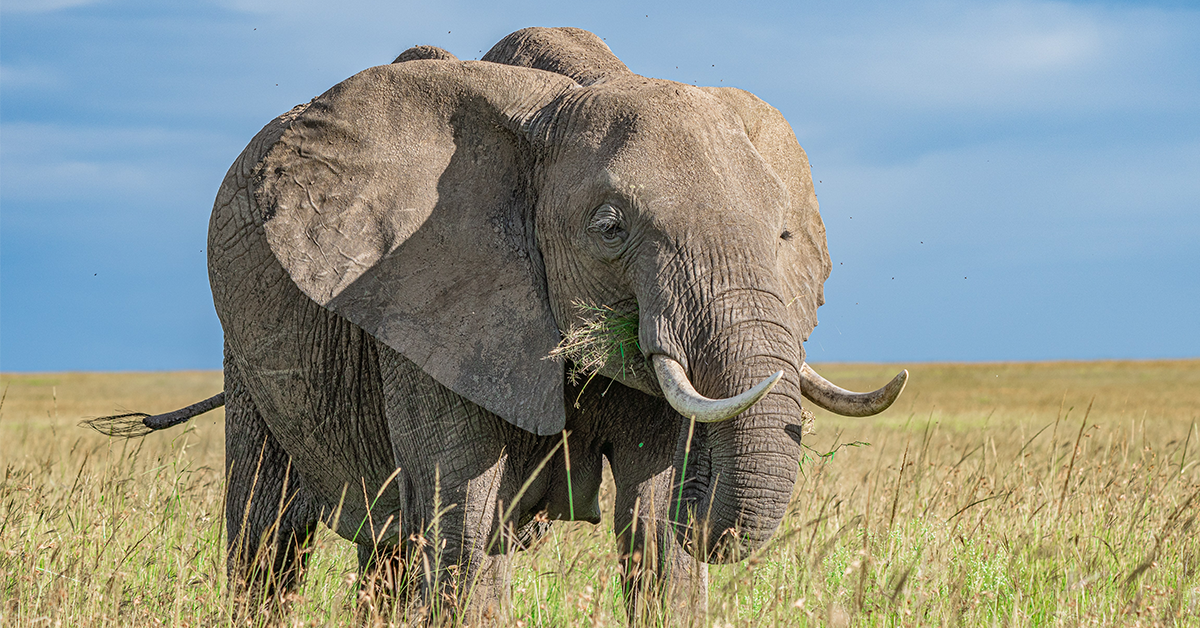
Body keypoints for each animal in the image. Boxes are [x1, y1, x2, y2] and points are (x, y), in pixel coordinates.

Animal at [89, 27, 908, 622]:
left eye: (784, 235)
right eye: (610, 227)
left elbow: (655, 534)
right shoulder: (424, 304)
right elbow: (466, 524)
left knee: (387, 545)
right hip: (247, 344)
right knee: (270, 534)